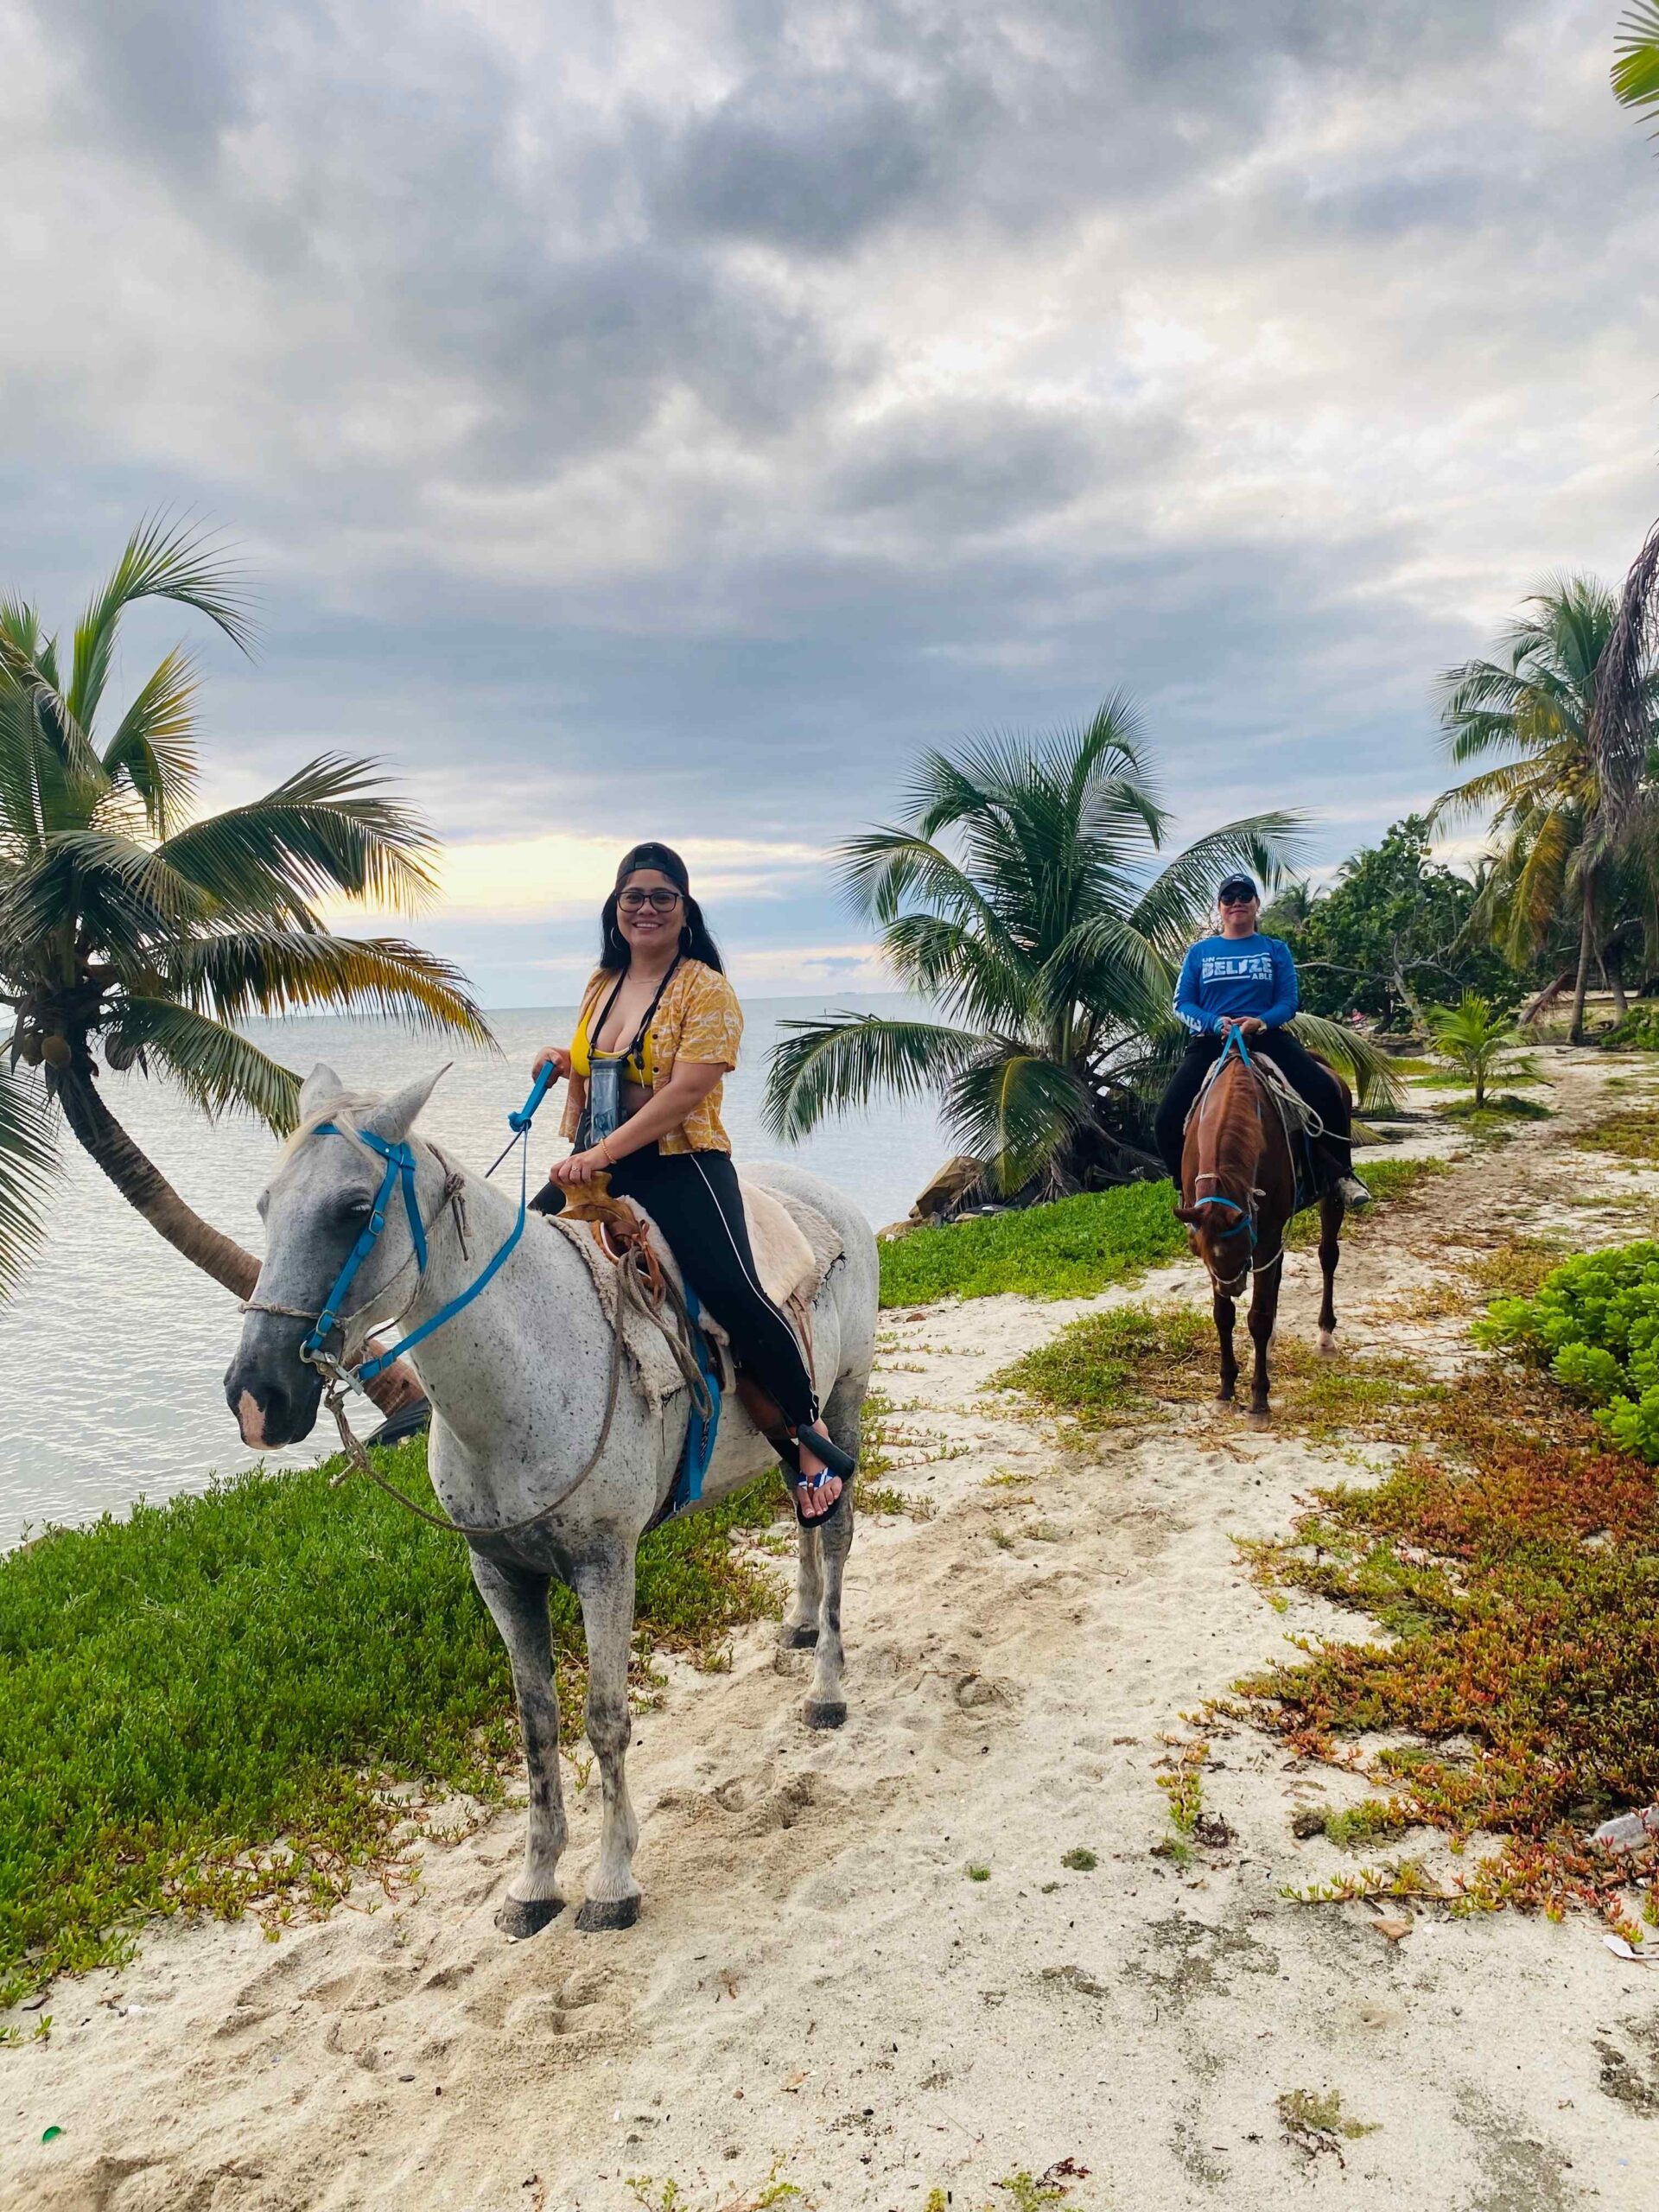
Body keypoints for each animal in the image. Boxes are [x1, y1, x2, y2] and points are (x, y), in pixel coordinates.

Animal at [231, 1071, 898, 1937]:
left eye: (352, 1208)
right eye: (265, 1206)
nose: (256, 1398)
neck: (527, 1364)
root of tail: (830, 1201)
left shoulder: (605, 1566)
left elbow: (605, 1718)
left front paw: (612, 1881)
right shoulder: (501, 1575)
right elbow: (537, 1723)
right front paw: (535, 1881)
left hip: (844, 1401)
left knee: (838, 1529)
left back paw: (827, 1688)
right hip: (794, 1431)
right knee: (805, 1515)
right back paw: (802, 1620)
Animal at [1176, 1039, 1344, 1424]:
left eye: (1242, 1253)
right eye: (1199, 1253)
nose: (1234, 1287)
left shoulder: (1265, 1237)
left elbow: (1258, 1318)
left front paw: (1259, 1400)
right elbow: (1224, 1317)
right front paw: (1225, 1390)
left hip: (1330, 1197)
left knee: (1328, 1257)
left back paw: (1325, 1337)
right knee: (1278, 1278)